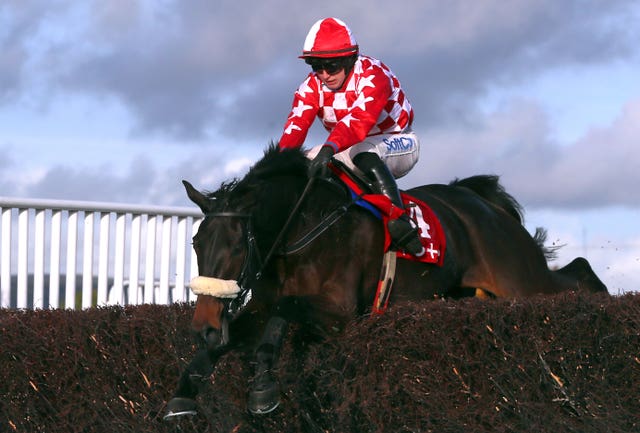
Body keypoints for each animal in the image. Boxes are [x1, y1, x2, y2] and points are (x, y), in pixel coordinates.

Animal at [164, 143, 604, 416]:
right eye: (197, 243)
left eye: (237, 246)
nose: (203, 325)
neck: (303, 228)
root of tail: (485, 204)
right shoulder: (260, 305)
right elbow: (235, 334)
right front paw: (185, 390)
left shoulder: (341, 314)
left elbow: (282, 314)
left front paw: (262, 390)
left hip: (521, 280)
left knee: (576, 272)